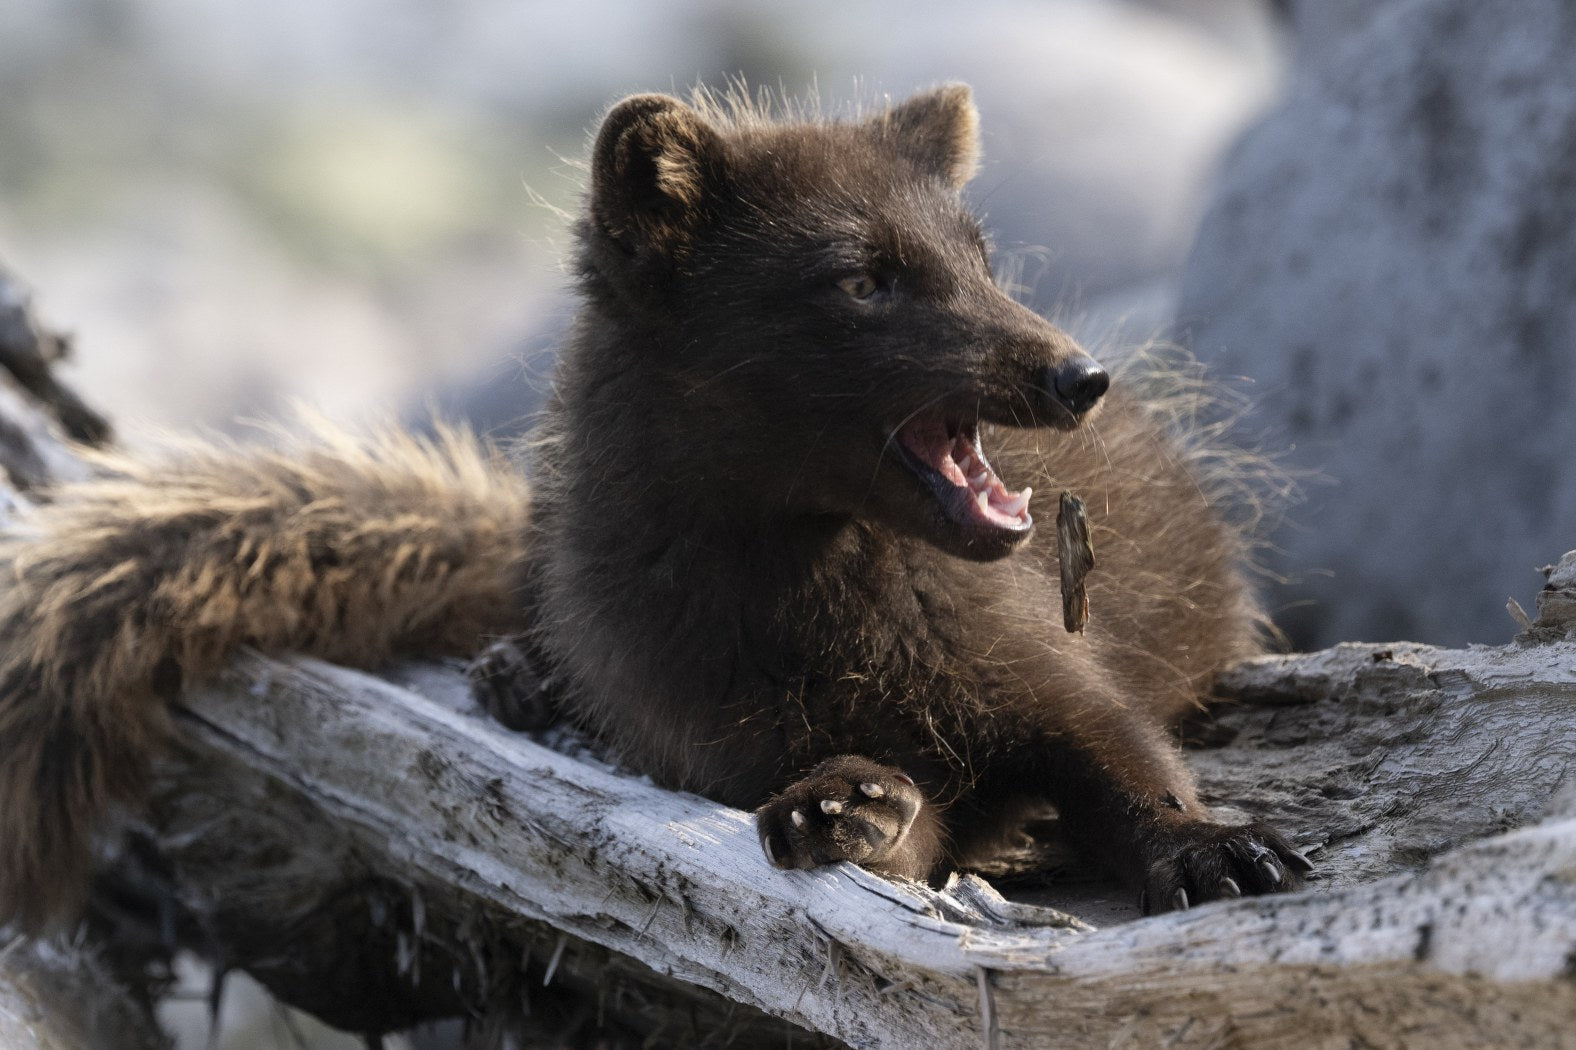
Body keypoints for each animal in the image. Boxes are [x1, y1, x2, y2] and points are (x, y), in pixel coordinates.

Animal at [0, 84, 1308, 935]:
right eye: (864, 278)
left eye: (983, 257)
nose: (1079, 376)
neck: (825, 630)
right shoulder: (720, 742)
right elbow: (919, 837)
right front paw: (850, 804)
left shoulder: (1042, 663)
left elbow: (1123, 754)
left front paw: (1219, 850)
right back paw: (519, 678)